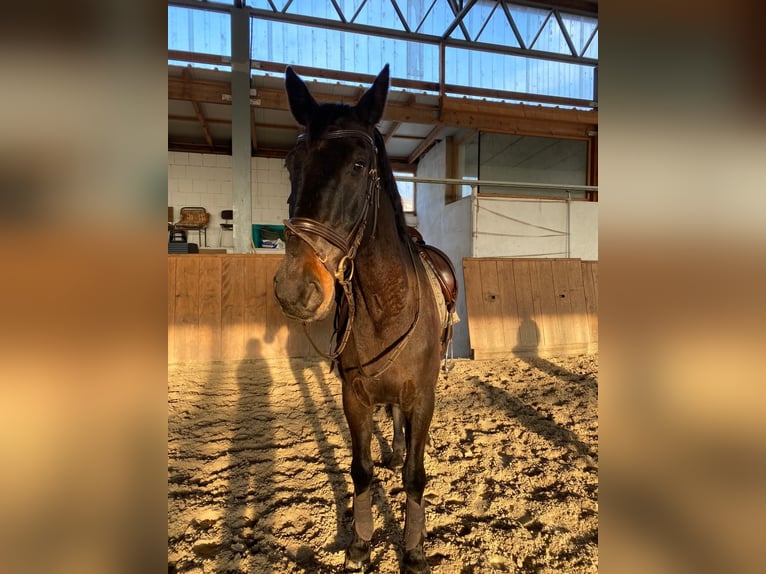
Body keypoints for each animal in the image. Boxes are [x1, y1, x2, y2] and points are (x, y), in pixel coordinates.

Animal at [273, 65, 455, 573]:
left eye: (358, 165)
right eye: (292, 164)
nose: (296, 288)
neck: (384, 306)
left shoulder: (423, 397)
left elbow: (415, 475)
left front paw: (413, 549)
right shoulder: (353, 396)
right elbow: (361, 470)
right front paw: (360, 540)